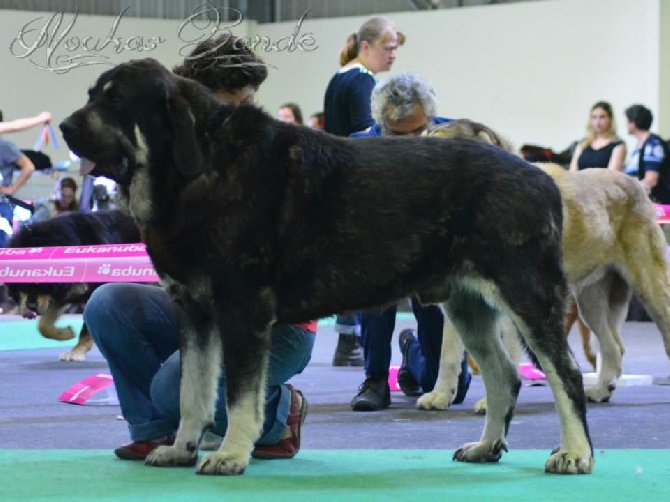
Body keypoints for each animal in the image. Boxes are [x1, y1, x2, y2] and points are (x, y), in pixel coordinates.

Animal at [6, 209, 140, 360]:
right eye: (21, 283)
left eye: (42, 283)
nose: (31, 307)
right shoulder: (61, 295)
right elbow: (43, 326)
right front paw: (65, 333)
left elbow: (86, 328)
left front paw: (77, 351)